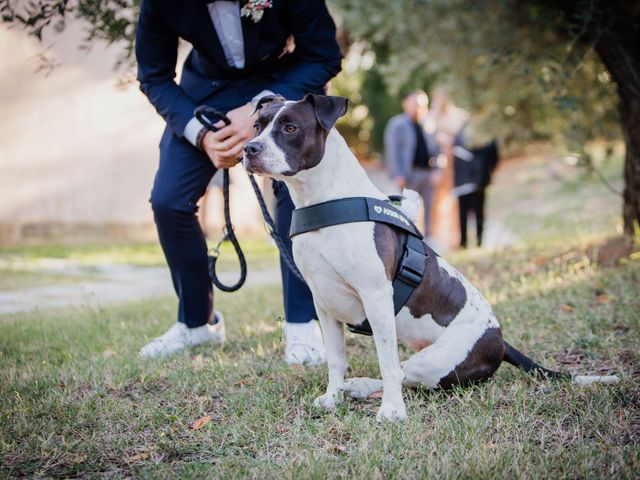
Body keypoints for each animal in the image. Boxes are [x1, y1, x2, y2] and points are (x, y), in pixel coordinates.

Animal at [241, 94, 620, 424]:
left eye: (290, 127)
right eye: (257, 125)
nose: (249, 149)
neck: (325, 200)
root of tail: (499, 339)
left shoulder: (376, 297)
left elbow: (387, 361)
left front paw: (392, 412)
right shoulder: (324, 303)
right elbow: (335, 359)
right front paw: (332, 398)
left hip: (436, 363)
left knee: (404, 371)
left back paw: (370, 389)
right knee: (400, 371)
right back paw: (358, 387)